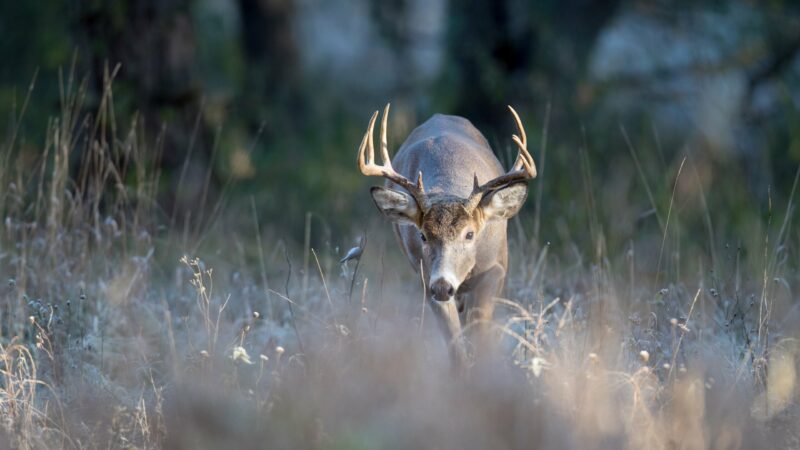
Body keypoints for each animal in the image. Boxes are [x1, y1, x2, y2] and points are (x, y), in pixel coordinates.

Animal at [358, 103, 536, 366]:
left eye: (470, 234)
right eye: (422, 235)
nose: (443, 286)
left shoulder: (496, 268)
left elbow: (480, 335)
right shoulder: (426, 279)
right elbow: (455, 347)